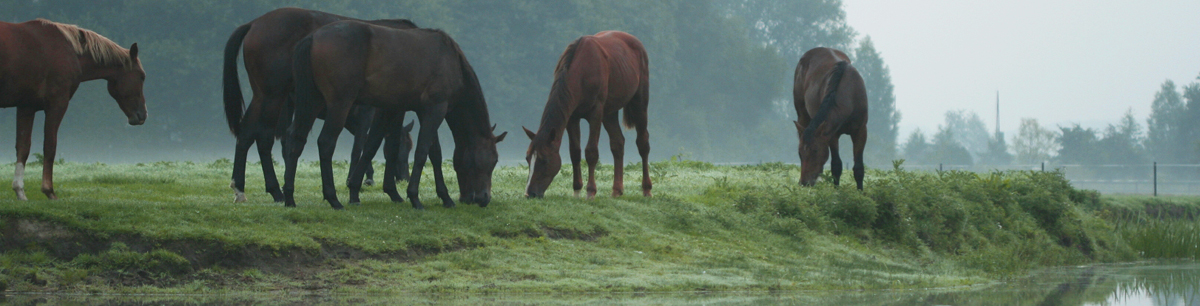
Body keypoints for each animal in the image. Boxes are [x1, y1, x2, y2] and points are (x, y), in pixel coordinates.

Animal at [0, 19, 148, 200]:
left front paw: (20, 191)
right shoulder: (57, 104)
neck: (71, 50)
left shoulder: (26, 107)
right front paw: (49, 191)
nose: (142, 114)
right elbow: (49, 146)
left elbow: (23, 147)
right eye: (142, 76)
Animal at [225, 7, 417, 202]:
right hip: (273, 96)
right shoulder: (372, 112)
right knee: (264, 137)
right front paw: (375, 187)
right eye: (407, 147)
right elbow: (373, 145)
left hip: (262, 96)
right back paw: (276, 190)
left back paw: (240, 187)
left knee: (246, 133)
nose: (404, 177)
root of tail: (254, 23)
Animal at [290, 20, 506, 208]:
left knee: (297, 140)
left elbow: (432, 153)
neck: (451, 62)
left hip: (312, 102)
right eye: (492, 160)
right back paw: (332, 198)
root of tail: (313, 37)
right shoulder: (436, 108)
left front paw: (444, 197)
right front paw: (415, 197)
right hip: (340, 104)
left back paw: (289, 198)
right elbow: (422, 152)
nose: (484, 198)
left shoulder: (416, 110)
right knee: (326, 142)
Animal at [520, 30, 652, 198]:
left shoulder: (596, 113)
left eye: (544, 160)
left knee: (643, 143)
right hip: (609, 113)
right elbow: (575, 152)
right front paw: (577, 190)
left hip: (639, 103)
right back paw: (617, 190)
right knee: (617, 143)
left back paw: (647, 189)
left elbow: (591, 152)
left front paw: (591, 192)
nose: (529, 193)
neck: (581, 71)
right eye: (527, 158)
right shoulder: (572, 118)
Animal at [792, 46, 868, 188]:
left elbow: (859, 167)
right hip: (802, 114)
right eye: (799, 153)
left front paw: (861, 192)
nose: (804, 182)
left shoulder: (861, 130)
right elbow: (836, 166)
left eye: (815, 150)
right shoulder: (832, 134)